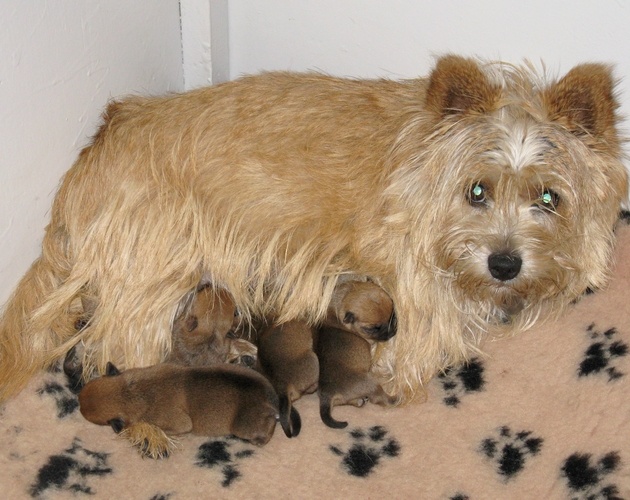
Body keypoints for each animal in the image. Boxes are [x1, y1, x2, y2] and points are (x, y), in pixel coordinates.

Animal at [1, 55, 630, 406]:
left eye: (548, 198)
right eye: (476, 191)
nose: (504, 264)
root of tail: (97, 145)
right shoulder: (415, 292)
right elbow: (419, 344)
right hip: (160, 262)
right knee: (118, 346)